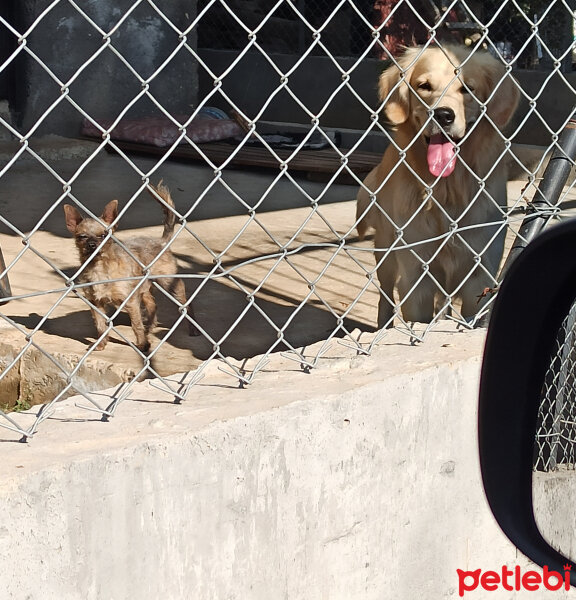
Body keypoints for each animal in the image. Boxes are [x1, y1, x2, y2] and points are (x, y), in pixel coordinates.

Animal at [63, 183, 199, 352]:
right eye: (82, 237)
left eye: (104, 235)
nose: (93, 244)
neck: (99, 268)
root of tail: (162, 242)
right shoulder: (95, 303)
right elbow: (100, 325)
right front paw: (100, 344)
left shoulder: (130, 301)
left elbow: (136, 324)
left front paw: (143, 345)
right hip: (144, 287)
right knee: (152, 304)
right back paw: (150, 327)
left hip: (170, 283)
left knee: (186, 303)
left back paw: (193, 328)